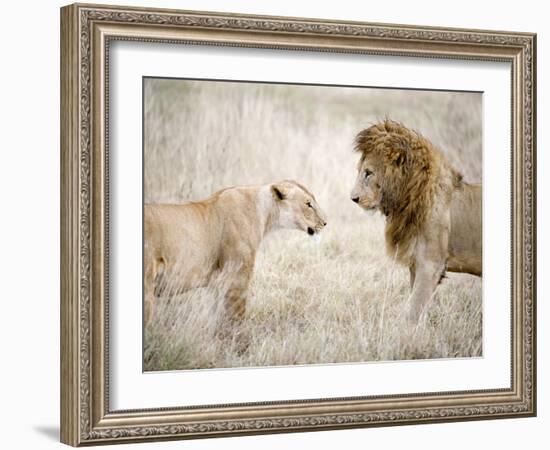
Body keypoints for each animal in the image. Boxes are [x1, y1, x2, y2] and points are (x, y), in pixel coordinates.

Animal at [354, 119, 484, 324]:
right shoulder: (416, 264)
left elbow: (413, 310)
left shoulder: (430, 265)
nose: (353, 198)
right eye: (360, 171)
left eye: (368, 173)